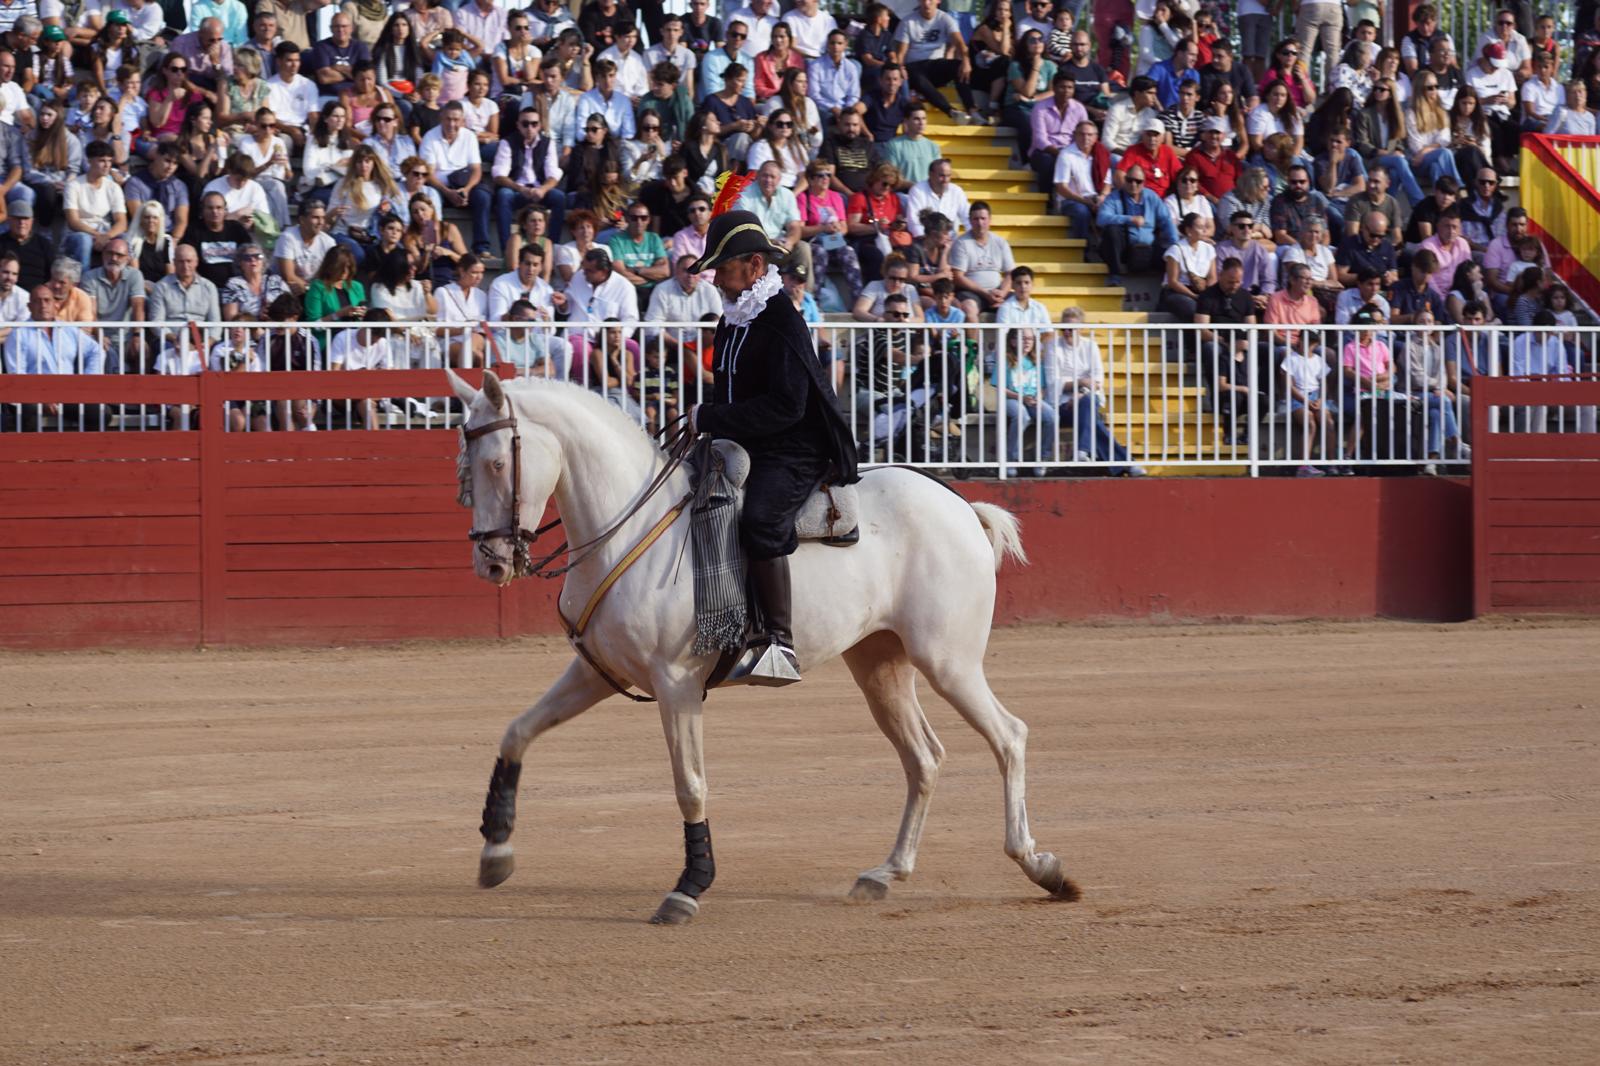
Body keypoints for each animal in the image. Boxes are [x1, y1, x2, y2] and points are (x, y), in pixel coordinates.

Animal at [448, 368, 1075, 921]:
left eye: (498, 462)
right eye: (465, 468)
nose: (491, 562)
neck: (631, 530)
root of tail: (962, 506)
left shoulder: (676, 685)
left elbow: (690, 785)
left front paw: (689, 888)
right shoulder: (598, 672)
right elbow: (518, 731)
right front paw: (496, 850)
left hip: (949, 662)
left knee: (1008, 736)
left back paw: (1041, 865)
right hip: (880, 664)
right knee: (923, 757)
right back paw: (885, 873)